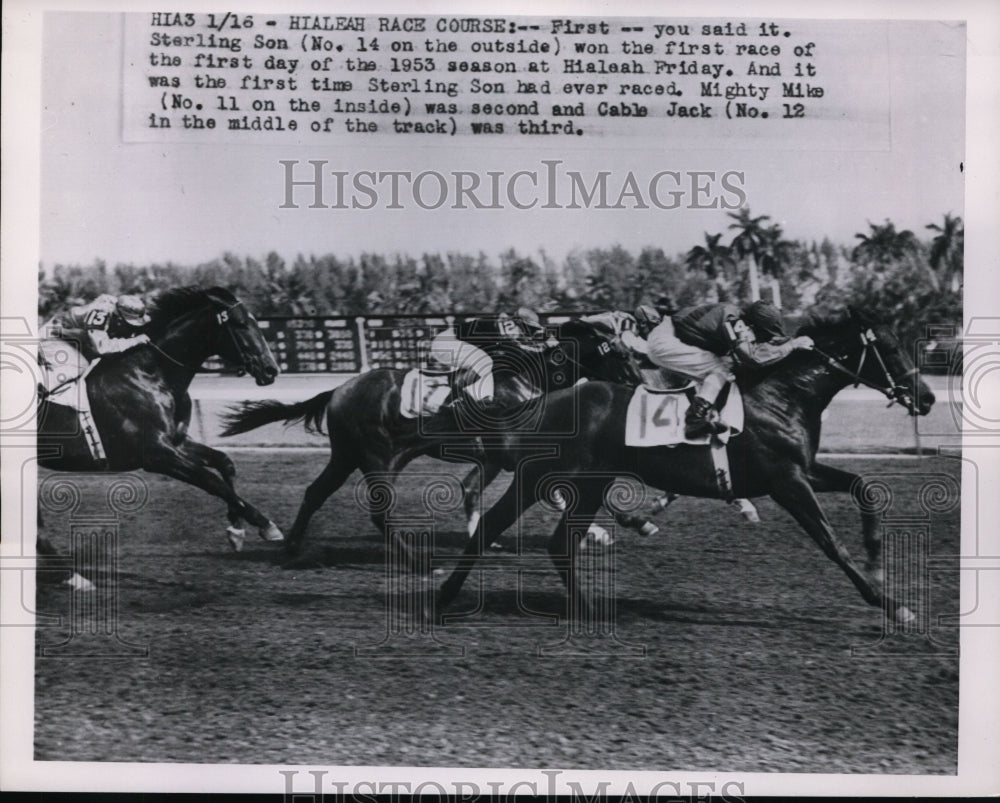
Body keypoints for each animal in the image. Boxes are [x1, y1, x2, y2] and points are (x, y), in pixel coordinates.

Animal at [38, 286, 282, 568]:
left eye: (256, 322)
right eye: (241, 324)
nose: (271, 369)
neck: (151, 375)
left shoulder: (177, 442)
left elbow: (224, 463)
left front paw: (236, 530)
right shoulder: (157, 456)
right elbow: (212, 481)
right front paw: (266, 525)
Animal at [217, 318, 640, 564]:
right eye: (622, 355)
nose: (639, 386)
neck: (529, 379)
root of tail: (339, 389)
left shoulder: (494, 459)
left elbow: (473, 490)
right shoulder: (520, 457)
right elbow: (561, 492)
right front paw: (606, 531)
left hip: (348, 456)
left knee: (314, 492)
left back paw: (290, 546)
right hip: (378, 457)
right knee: (379, 513)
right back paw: (417, 562)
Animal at [436, 310, 936, 624]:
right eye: (890, 348)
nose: (928, 398)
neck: (782, 396)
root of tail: (542, 401)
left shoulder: (804, 469)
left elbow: (865, 487)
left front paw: (877, 561)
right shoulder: (786, 480)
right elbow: (832, 544)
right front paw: (892, 605)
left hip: (573, 482)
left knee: (540, 538)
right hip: (553, 478)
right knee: (515, 529)